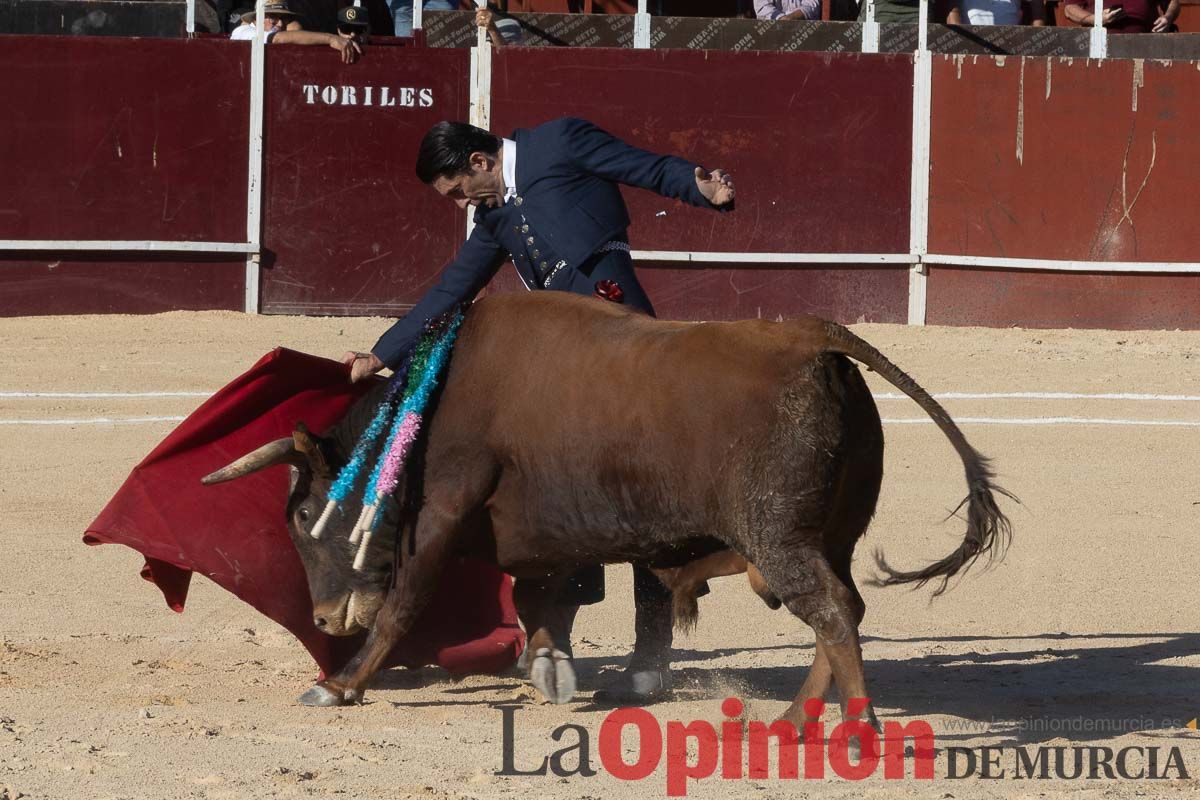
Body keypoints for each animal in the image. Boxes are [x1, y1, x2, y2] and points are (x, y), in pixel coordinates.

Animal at [201, 293, 1008, 734]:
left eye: (306, 514)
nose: (324, 618)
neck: (430, 406)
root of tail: (814, 335)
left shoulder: (444, 510)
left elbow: (406, 601)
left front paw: (339, 685)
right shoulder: (542, 532)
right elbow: (540, 595)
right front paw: (548, 665)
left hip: (776, 536)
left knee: (834, 611)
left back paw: (855, 729)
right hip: (826, 536)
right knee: (842, 609)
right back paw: (793, 722)